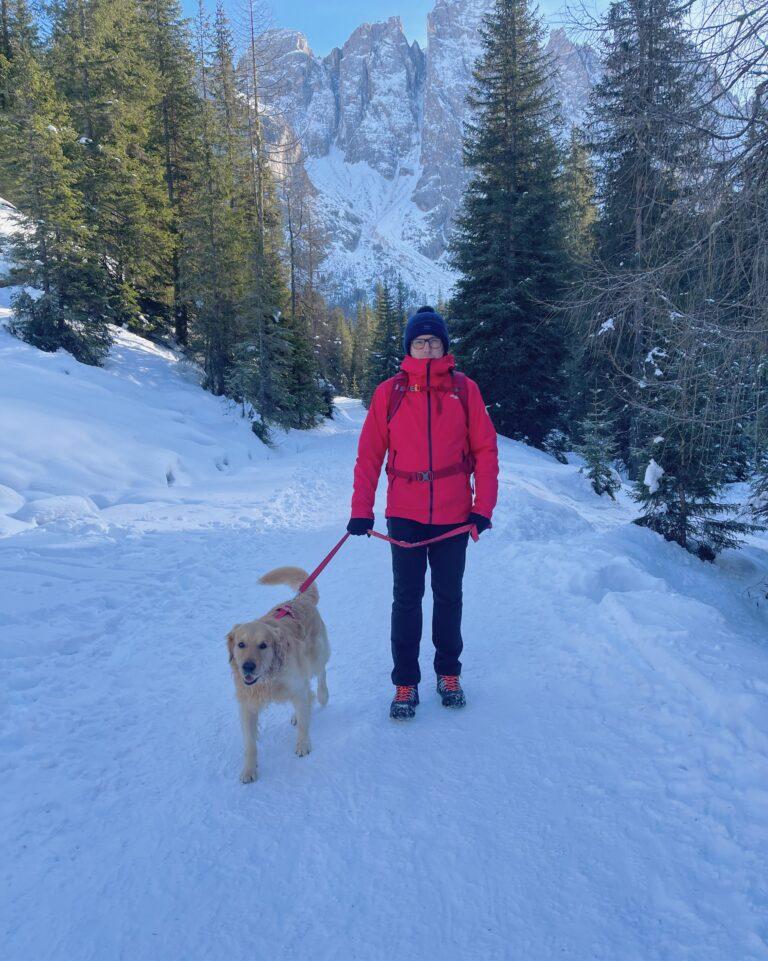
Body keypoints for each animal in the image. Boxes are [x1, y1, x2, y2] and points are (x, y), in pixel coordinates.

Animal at [225, 568, 328, 780]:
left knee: (321, 674)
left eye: (263, 645)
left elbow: (304, 722)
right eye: (241, 644)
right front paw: (249, 769)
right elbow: (250, 743)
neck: (268, 678)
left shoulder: (295, 685)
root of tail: (299, 599)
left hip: (316, 656)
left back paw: (322, 695)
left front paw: (303, 745)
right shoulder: (247, 705)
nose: (248, 666)